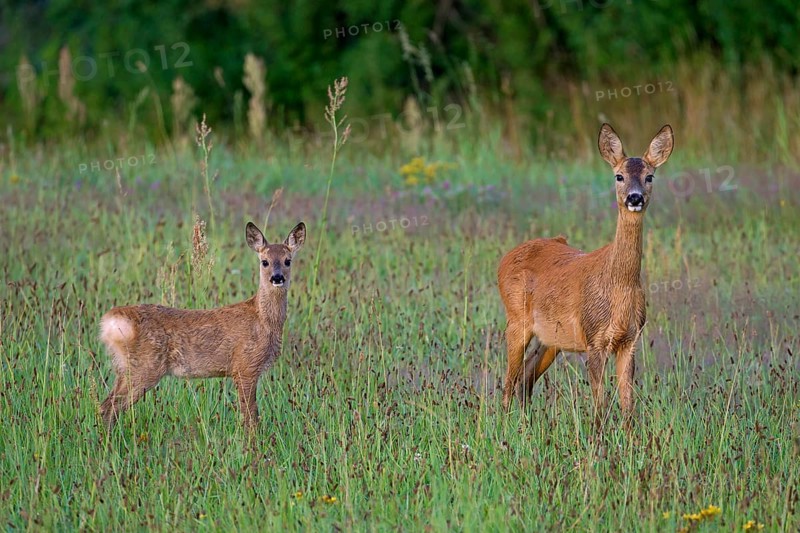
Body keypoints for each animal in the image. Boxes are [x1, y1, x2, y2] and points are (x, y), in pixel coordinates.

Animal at [98, 221, 306, 430]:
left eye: (288, 260)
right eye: (265, 261)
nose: (277, 277)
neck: (263, 319)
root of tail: (110, 321)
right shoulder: (245, 366)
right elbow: (251, 417)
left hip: (125, 367)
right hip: (144, 366)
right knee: (109, 406)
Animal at [497, 123, 673, 425]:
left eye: (649, 176)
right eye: (619, 176)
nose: (634, 197)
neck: (618, 286)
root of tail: (503, 260)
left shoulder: (630, 340)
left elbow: (628, 407)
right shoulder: (594, 339)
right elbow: (600, 407)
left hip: (551, 339)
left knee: (526, 378)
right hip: (516, 319)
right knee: (509, 382)